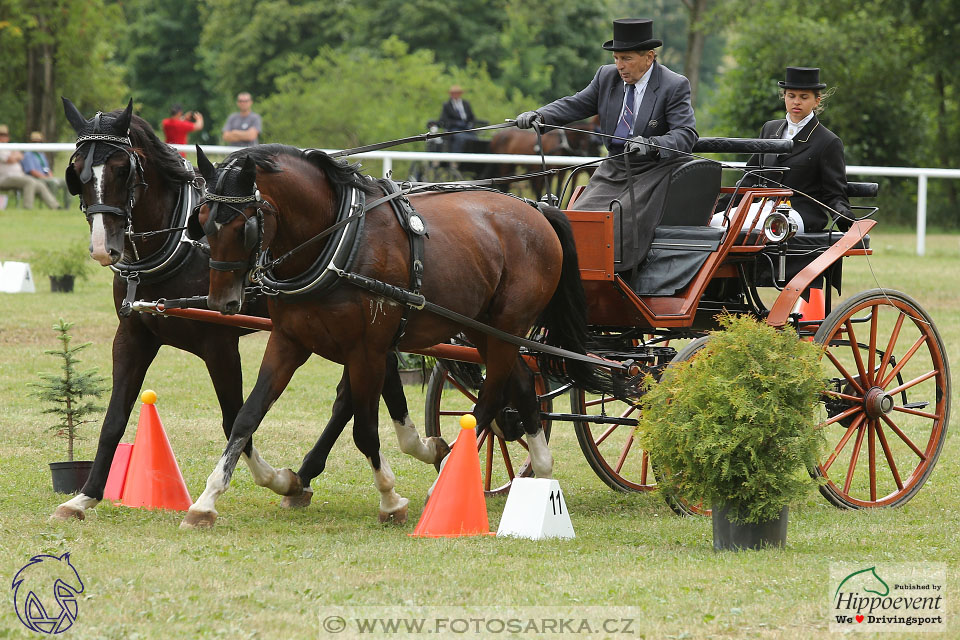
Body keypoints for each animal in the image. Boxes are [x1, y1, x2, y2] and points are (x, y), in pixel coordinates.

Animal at [50, 99, 444, 520]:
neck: (180, 245)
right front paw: (83, 497)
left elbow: (232, 417)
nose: (103, 247)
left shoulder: (219, 344)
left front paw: (273, 479)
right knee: (359, 390)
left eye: (122, 168)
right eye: (76, 170)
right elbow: (114, 419)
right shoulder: (133, 336)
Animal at [182, 146, 616, 528]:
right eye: (201, 218)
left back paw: (447, 479)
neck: (338, 239)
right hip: (484, 328)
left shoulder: (367, 351)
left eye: (243, 226)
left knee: (491, 398)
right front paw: (209, 500)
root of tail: (536, 210)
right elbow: (246, 417)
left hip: (506, 327)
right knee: (523, 384)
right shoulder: (290, 342)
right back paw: (541, 469)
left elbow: (364, 431)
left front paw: (390, 500)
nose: (221, 301)